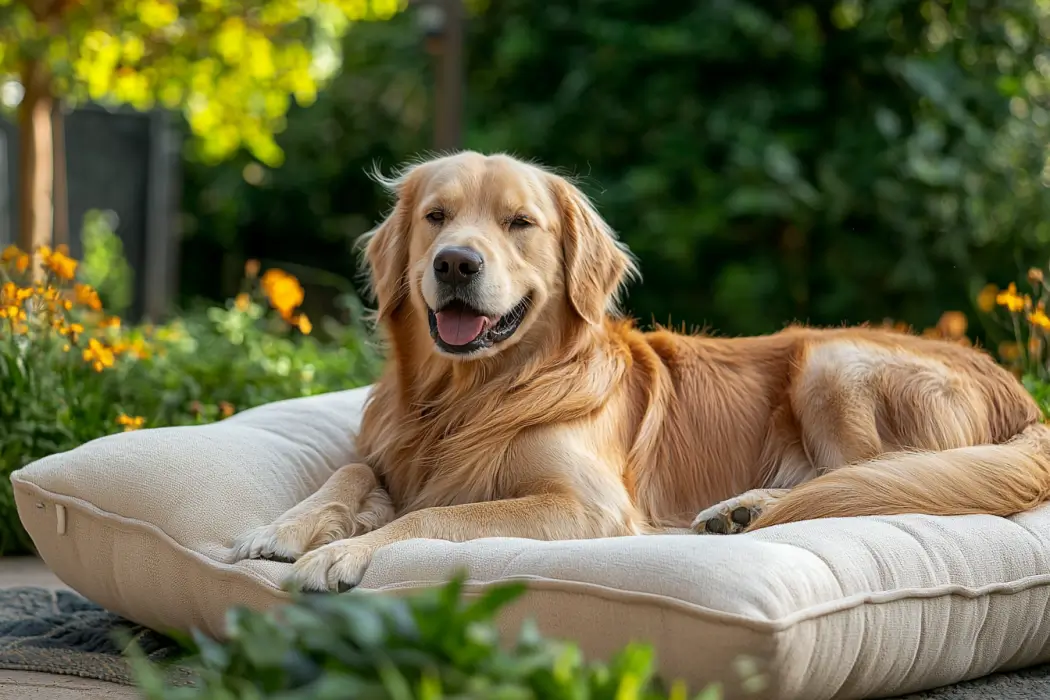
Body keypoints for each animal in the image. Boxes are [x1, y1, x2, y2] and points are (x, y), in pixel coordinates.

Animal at [232, 152, 1050, 591]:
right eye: (436, 216)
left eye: (519, 223)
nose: (455, 263)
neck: (473, 395)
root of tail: (1019, 392)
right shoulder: (390, 451)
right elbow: (354, 471)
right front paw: (284, 527)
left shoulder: (587, 506)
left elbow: (436, 516)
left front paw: (338, 553)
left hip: (832, 361)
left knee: (870, 482)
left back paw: (746, 508)